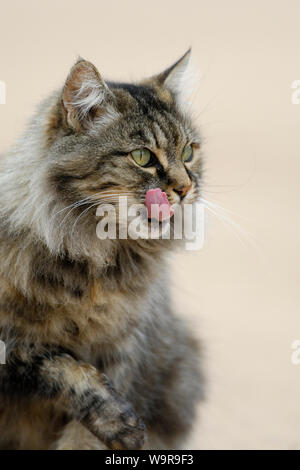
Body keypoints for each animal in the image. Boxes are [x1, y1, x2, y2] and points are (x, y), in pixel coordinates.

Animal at [0, 49, 204, 450]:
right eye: (142, 157)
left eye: (188, 152)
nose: (186, 188)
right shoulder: (12, 346)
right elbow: (59, 364)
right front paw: (119, 421)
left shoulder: (124, 350)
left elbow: (82, 437)